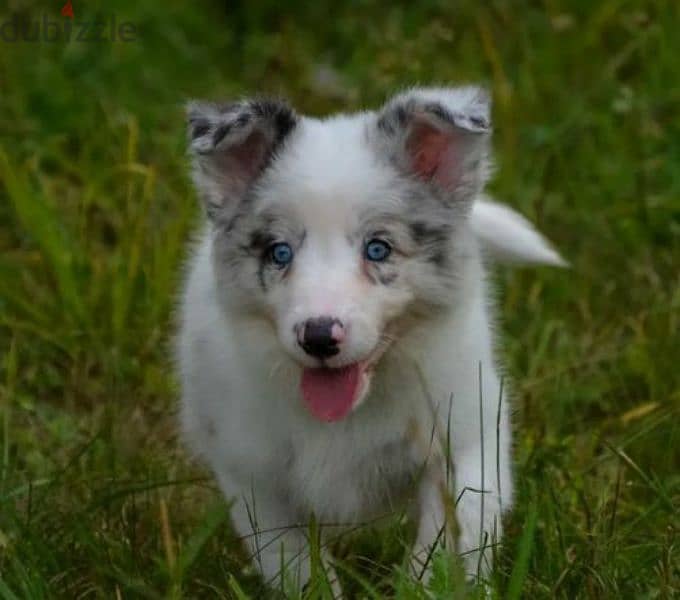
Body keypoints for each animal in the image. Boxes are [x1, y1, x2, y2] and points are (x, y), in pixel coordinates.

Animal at [175, 86, 564, 592]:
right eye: (279, 253)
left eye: (378, 248)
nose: (319, 337)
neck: (346, 417)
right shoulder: (253, 475)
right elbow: (294, 565)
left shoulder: (466, 436)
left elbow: (447, 546)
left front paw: (425, 587)